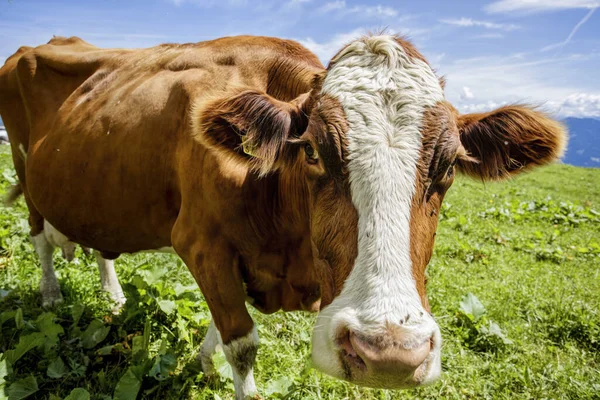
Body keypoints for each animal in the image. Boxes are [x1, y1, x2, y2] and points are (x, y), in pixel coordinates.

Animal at [0, 35, 568, 400]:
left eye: (449, 165)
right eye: (312, 150)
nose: (389, 355)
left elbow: (219, 325)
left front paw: (203, 363)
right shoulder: (200, 243)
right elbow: (242, 342)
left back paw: (113, 293)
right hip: (27, 172)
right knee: (39, 237)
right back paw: (50, 294)